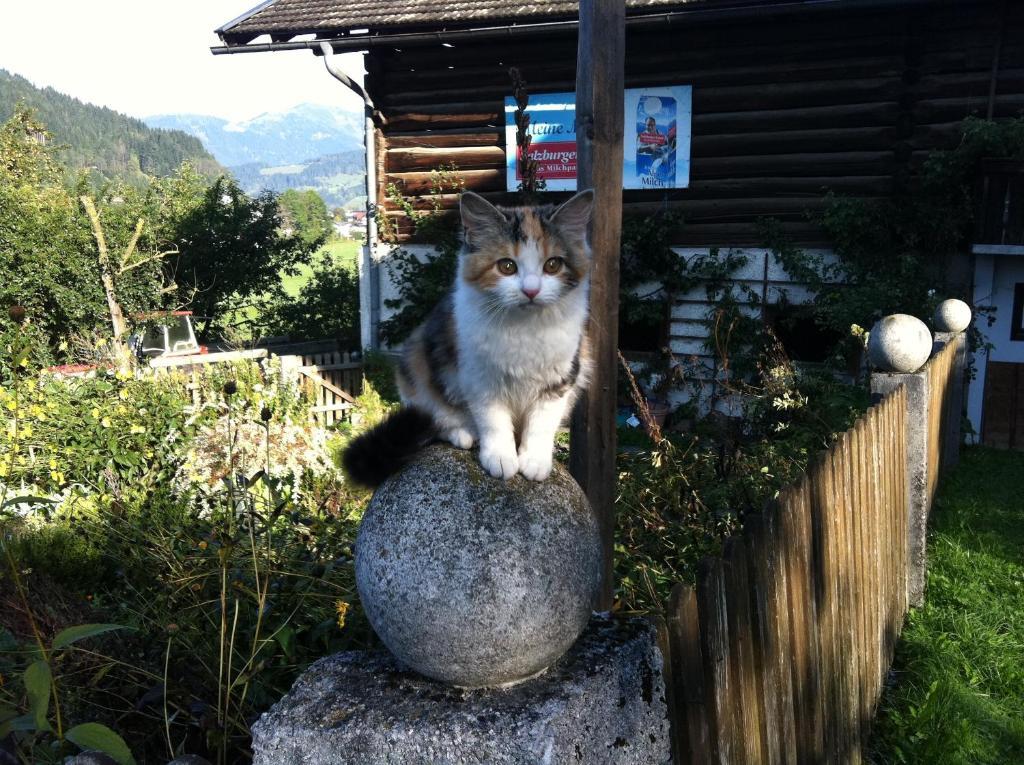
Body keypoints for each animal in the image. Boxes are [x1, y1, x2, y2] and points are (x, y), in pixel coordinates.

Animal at [344, 189, 598, 487]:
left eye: (553, 265)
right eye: (507, 266)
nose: (531, 291)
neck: (524, 328)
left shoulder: (561, 378)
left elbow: (541, 425)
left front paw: (535, 461)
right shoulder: (480, 378)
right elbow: (494, 422)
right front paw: (501, 457)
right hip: (416, 362)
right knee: (434, 415)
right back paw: (464, 433)